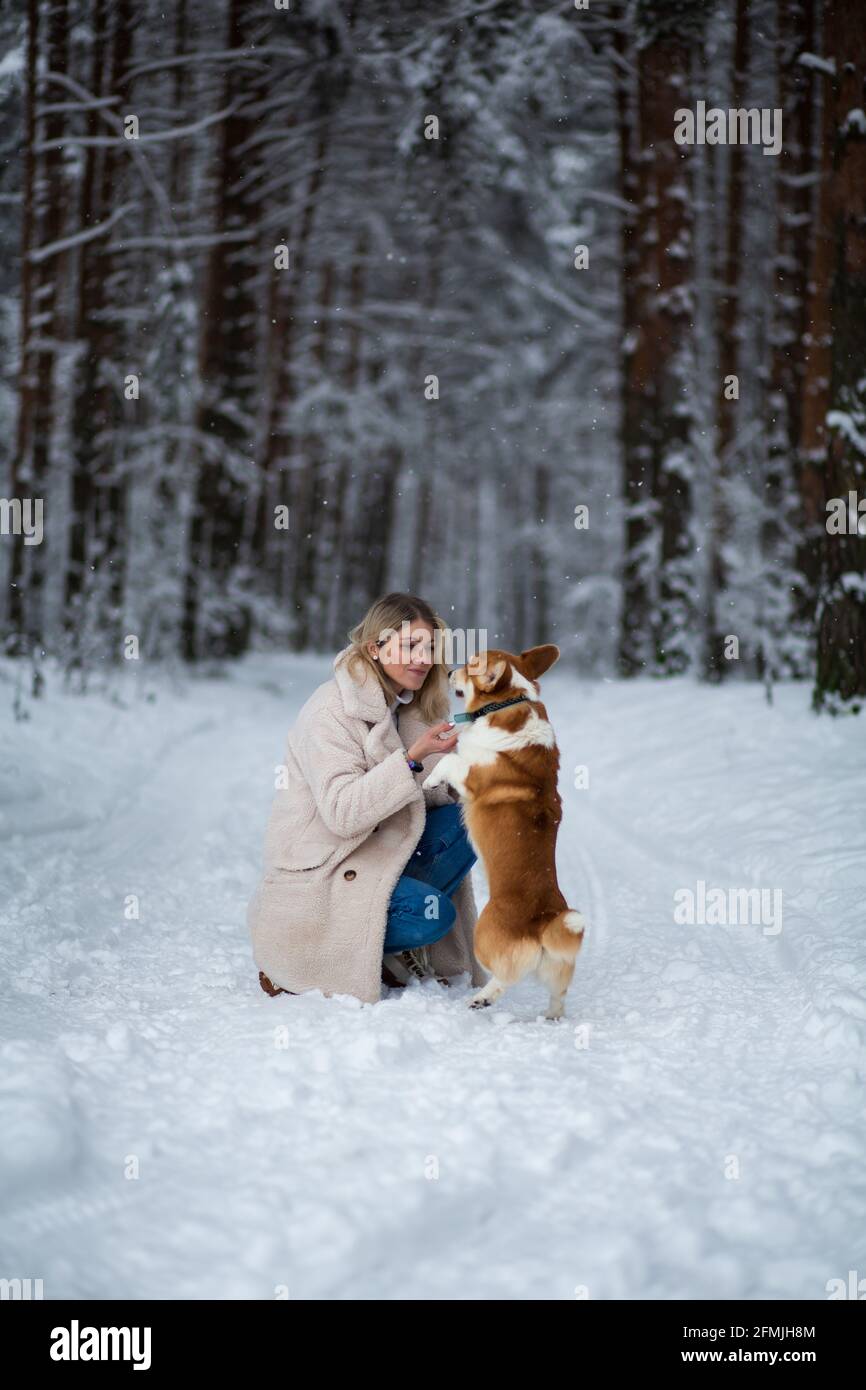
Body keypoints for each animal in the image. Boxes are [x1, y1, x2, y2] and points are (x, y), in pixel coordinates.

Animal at [422, 642, 586, 1023]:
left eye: (470, 666)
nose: (449, 671)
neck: (509, 702)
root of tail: (542, 925)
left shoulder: (471, 774)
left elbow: (448, 761)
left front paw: (428, 780)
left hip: (483, 936)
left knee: (506, 977)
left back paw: (481, 999)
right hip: (557, 968)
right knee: (559, 994)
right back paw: (551, 1017)